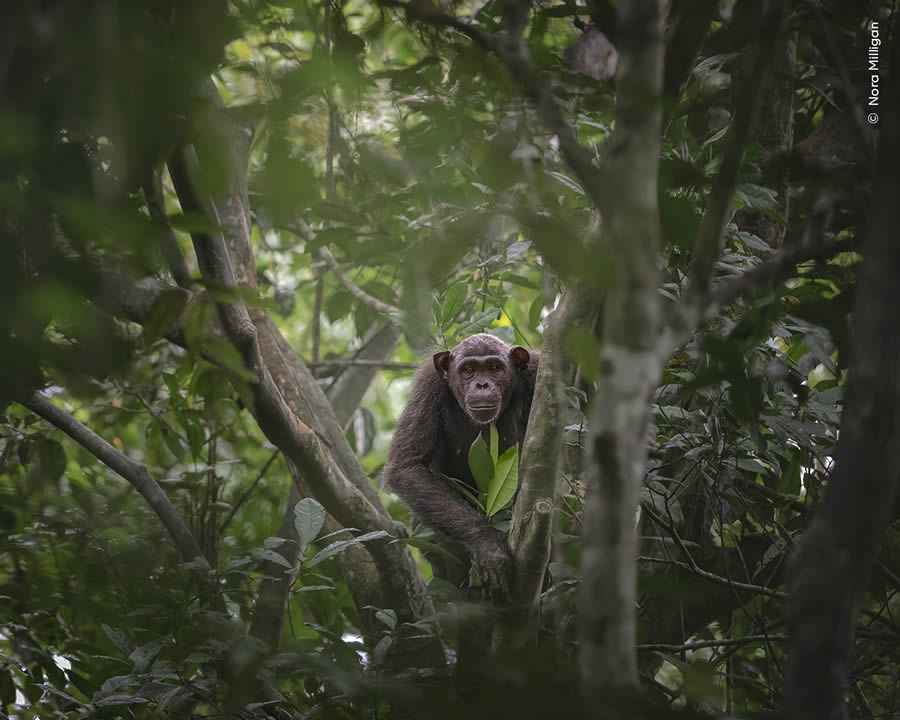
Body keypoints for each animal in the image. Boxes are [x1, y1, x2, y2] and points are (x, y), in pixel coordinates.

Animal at [384, 334, 536, 600]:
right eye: (468, 370)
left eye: (495, 368)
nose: (482, 385)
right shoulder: (429, 385)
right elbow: (406, 465)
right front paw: (488, 544)